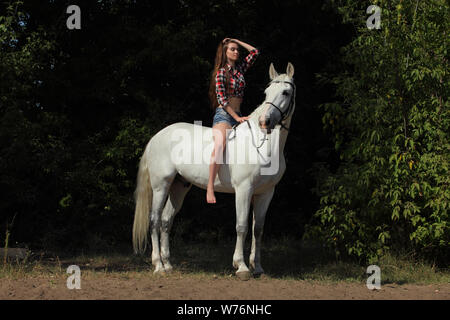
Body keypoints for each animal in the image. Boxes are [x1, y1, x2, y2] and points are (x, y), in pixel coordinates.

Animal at [132, 62, 298, 280]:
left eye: (286, 92)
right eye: (266, 93)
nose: (265, 121)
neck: (263, 146)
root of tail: (157, 137)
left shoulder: (265, 193)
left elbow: (258, 230)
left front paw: (258, 268)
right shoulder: (243, 190)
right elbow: (242, 226)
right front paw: (241, 266)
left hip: (179, 186)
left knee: (166, 221)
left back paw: (168, 264)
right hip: (161, 186)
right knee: (154, 220)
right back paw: (158, 265)